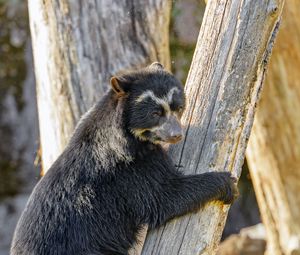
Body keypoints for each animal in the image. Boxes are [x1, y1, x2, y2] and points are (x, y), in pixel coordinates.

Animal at [10, 62, 238, 255]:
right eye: (155, 113)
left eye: (178, 107)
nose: (176, 135)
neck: (128, 136)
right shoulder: (129, 172)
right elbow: (165, 196)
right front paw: (228, 184)